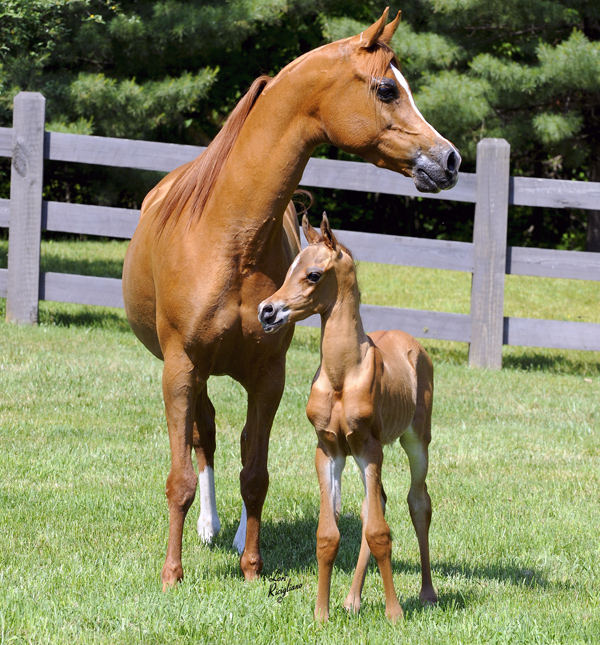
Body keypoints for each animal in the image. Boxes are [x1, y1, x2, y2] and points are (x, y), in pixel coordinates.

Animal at [258, 214, 436, 620]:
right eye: (289, 269)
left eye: (313, 275)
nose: (267, 311)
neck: (342, 375)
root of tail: (412, 343)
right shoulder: (329, 449)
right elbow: (330, 533)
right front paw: (321, 615)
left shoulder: (371, 447)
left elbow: (379, 531)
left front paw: (395, 614)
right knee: (376, 504)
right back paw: (352, 599)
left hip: (416, 441)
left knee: (418, 502)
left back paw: (427, 593)